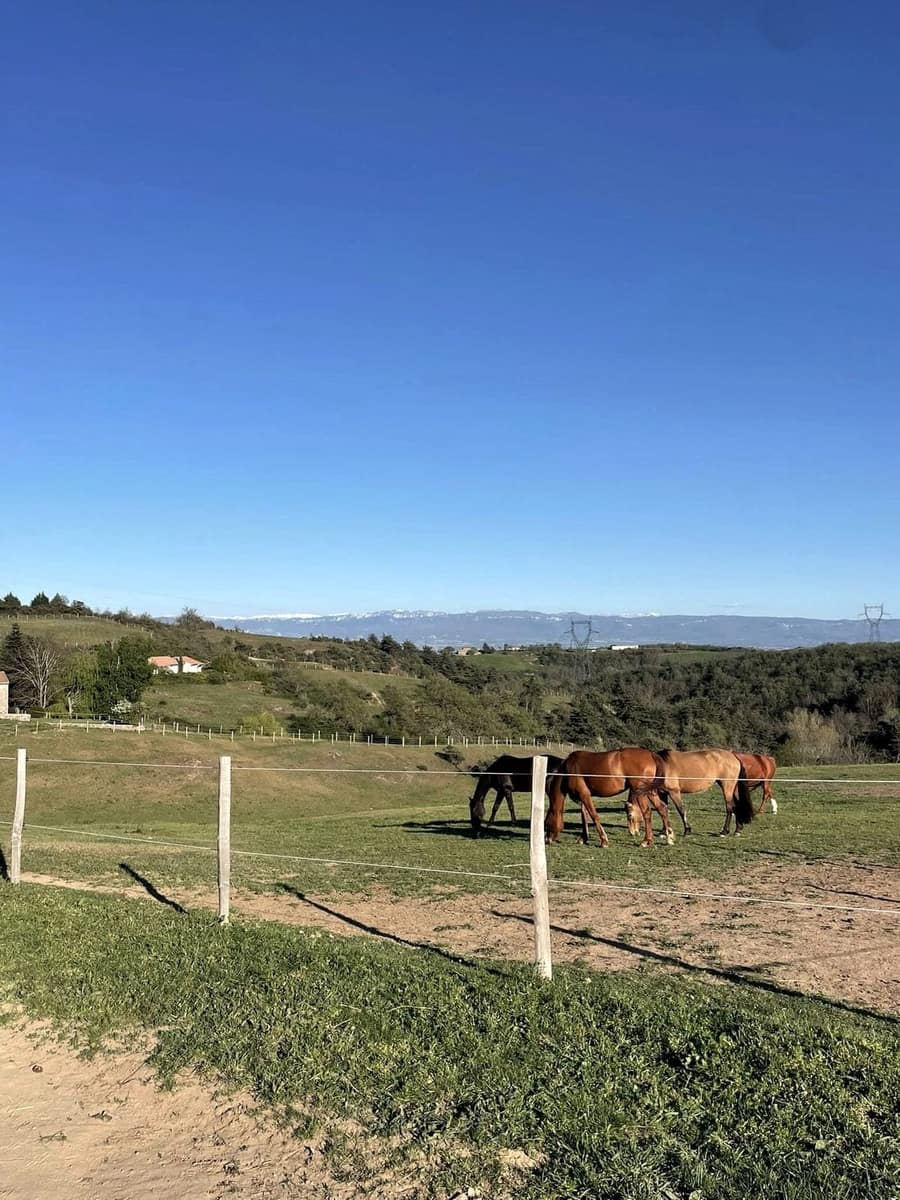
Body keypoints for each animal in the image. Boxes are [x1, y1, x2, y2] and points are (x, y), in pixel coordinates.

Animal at [544, 748, 672, 848]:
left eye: (546, 823)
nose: (547, 840)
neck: (568, 771)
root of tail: (651, 754)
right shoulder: (583, 797)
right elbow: (584, 816)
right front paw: (583, 838)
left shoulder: (584, 795)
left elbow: (594, 815)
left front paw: (603, 841)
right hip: (650, 792)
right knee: (662, 808)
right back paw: (669, 837)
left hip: (641, 792)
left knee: (647, 812)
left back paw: (646, 841)